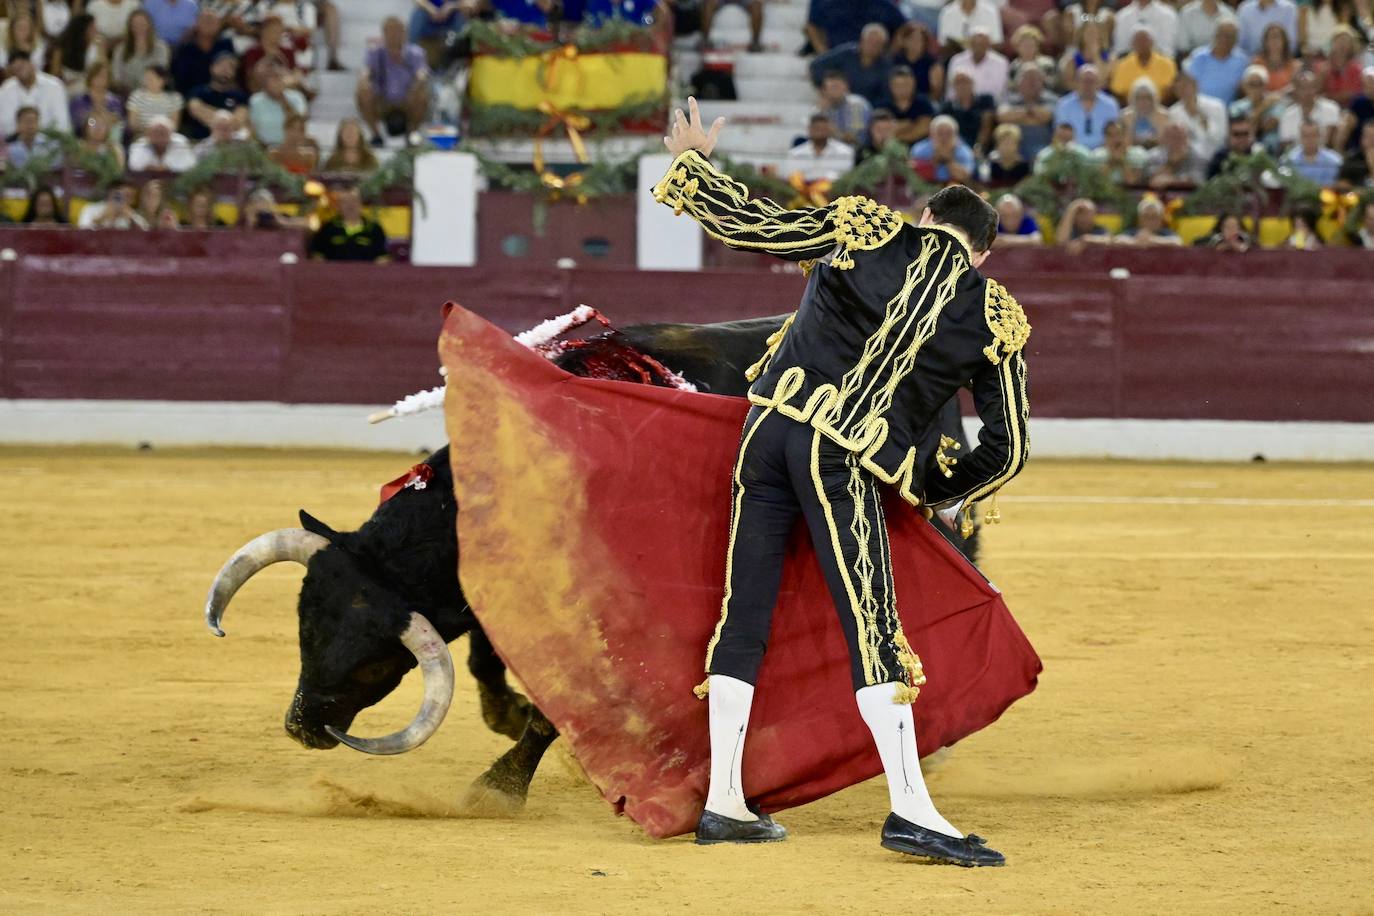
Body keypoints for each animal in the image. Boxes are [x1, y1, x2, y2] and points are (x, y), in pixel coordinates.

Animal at [203, 313, 978, 807]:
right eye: (304, 624)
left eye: (373, 662)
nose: (301, 725)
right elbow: (489, 658)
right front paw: (508, 714)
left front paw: (497, 787)